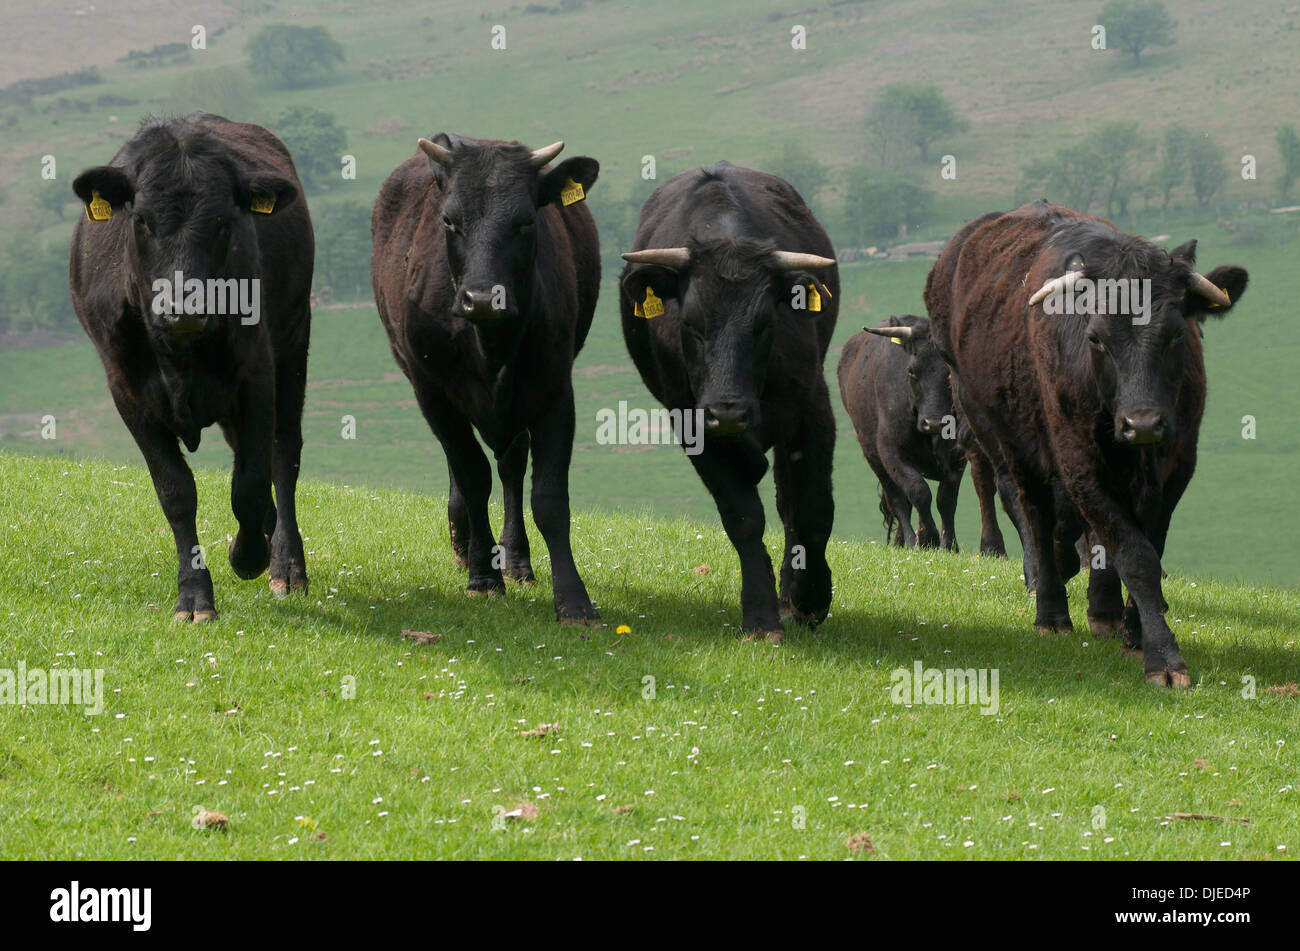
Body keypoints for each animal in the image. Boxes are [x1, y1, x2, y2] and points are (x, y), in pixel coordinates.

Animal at [69, 111, 314, 621]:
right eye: (141, 220)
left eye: (223, 224)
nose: (183, 307)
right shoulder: (127, 390)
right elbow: (176, 492)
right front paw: (195, 595)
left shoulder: (257, 373)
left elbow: (250, 482)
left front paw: (248, 555)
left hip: (292, 345)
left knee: (283, 453)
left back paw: (285, 564)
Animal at [371, 133, 603, 623]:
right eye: (449, 220)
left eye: (526, 221)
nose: (481, 298)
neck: (490, 341)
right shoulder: (432, 391)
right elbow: (472, 475)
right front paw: (482, 577)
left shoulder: (555, 388)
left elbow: (549, 498)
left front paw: (573, 600)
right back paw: (466, 545)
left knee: (512, 466)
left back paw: (516, 559)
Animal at [621, 163, 842, 641]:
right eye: (690, 323)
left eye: (764, 324)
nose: (728, 411)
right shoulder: (693, 423)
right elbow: (743, 517)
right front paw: (760, 614)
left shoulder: (813, 410)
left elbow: (813, 508)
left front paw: (810, 598)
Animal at [837, 311, 1008, 553]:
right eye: (912, 371)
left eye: (950, 373)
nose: (934, 423)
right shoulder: (892, 453)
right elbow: (918, 492)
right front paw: (927, 537)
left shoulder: (957, 458)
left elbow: (946, 500)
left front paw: (949, 544)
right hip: (874, 457)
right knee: (898, 500)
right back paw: (908, 540)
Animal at [925, 202, 1248, 691]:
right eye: (1096, 338)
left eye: (1177, 334)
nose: (1143, 423)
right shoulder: (1081, 463)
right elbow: (1136, 556)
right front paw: (1163, 656)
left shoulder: (1176, 467)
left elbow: (1144, 547)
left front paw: (1136, 634)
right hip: (1000, 432)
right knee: (1035, 516)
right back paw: (1051, 610)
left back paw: (1102, 608)